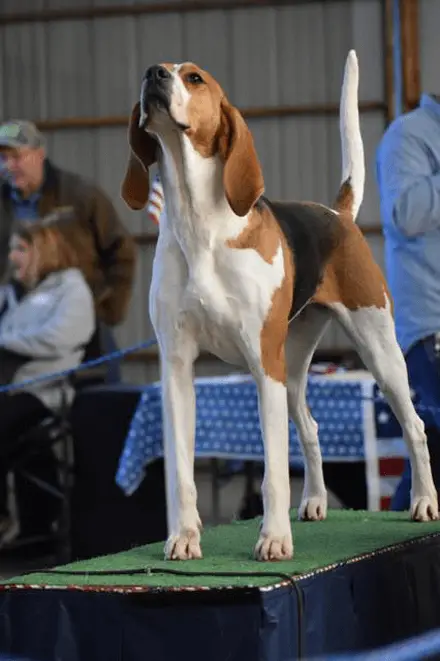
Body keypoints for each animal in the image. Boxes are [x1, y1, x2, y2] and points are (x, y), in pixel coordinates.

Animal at [121, 49, 440, 560]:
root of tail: (338, 215)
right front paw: (185, 536)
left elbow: (272, 471)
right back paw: (314, 501)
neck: (199, 225)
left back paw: (424, 501)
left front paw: (272, 538)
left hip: (378, 353)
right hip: (291, 372)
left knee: (415, 427)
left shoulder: (262, 366)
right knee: (309, 427)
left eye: (195, 78)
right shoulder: (177, 370)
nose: (154, 75)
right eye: (158, 69)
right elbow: (183, 475)